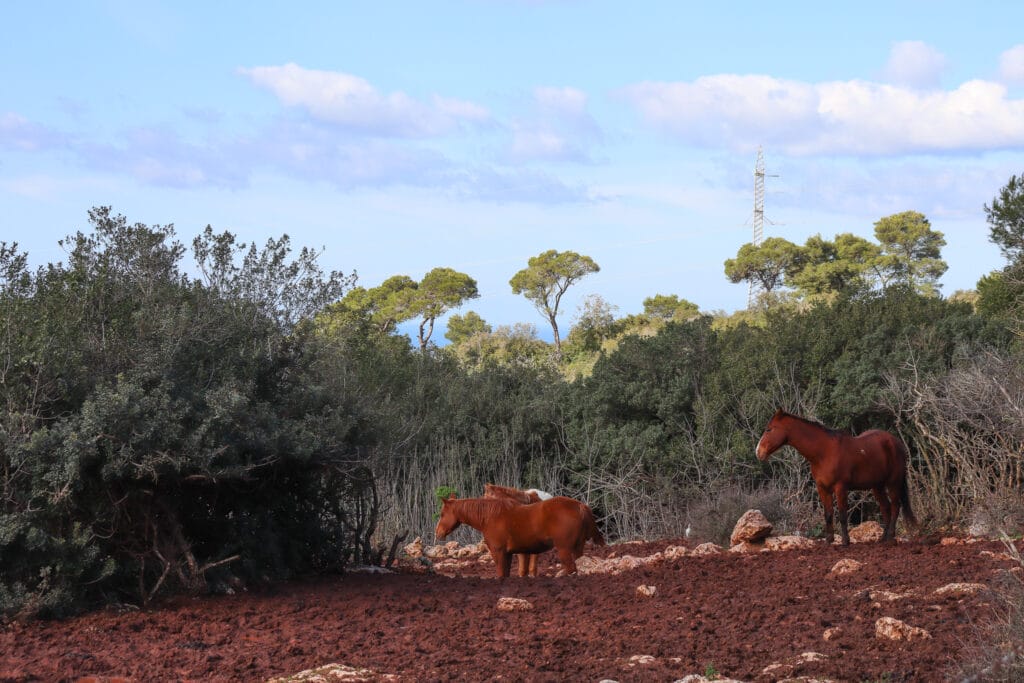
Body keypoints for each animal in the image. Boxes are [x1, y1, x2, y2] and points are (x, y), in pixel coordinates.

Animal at [436, 493, 602, 581]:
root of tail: (580, 506)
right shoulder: (508, 555)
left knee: (571, 569)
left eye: (442, 514)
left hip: (564, 549)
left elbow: (501, 574)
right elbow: (506, 574)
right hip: (577, 549)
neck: (490, 517)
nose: (438, 533)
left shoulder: (498, 553)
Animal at [757, 409, 917, 548]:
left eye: (769, 429)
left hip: (893, 483)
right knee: (886, 508)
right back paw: (882, 538)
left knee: (895, 506)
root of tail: (896, 442)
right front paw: (829, 541)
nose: (758, 452)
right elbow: (828, 514)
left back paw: (890, 537)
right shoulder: (822, 488)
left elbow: (842, 514)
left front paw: (845, 541)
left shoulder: (840, 487)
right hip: (877, 486)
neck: (824, 452)